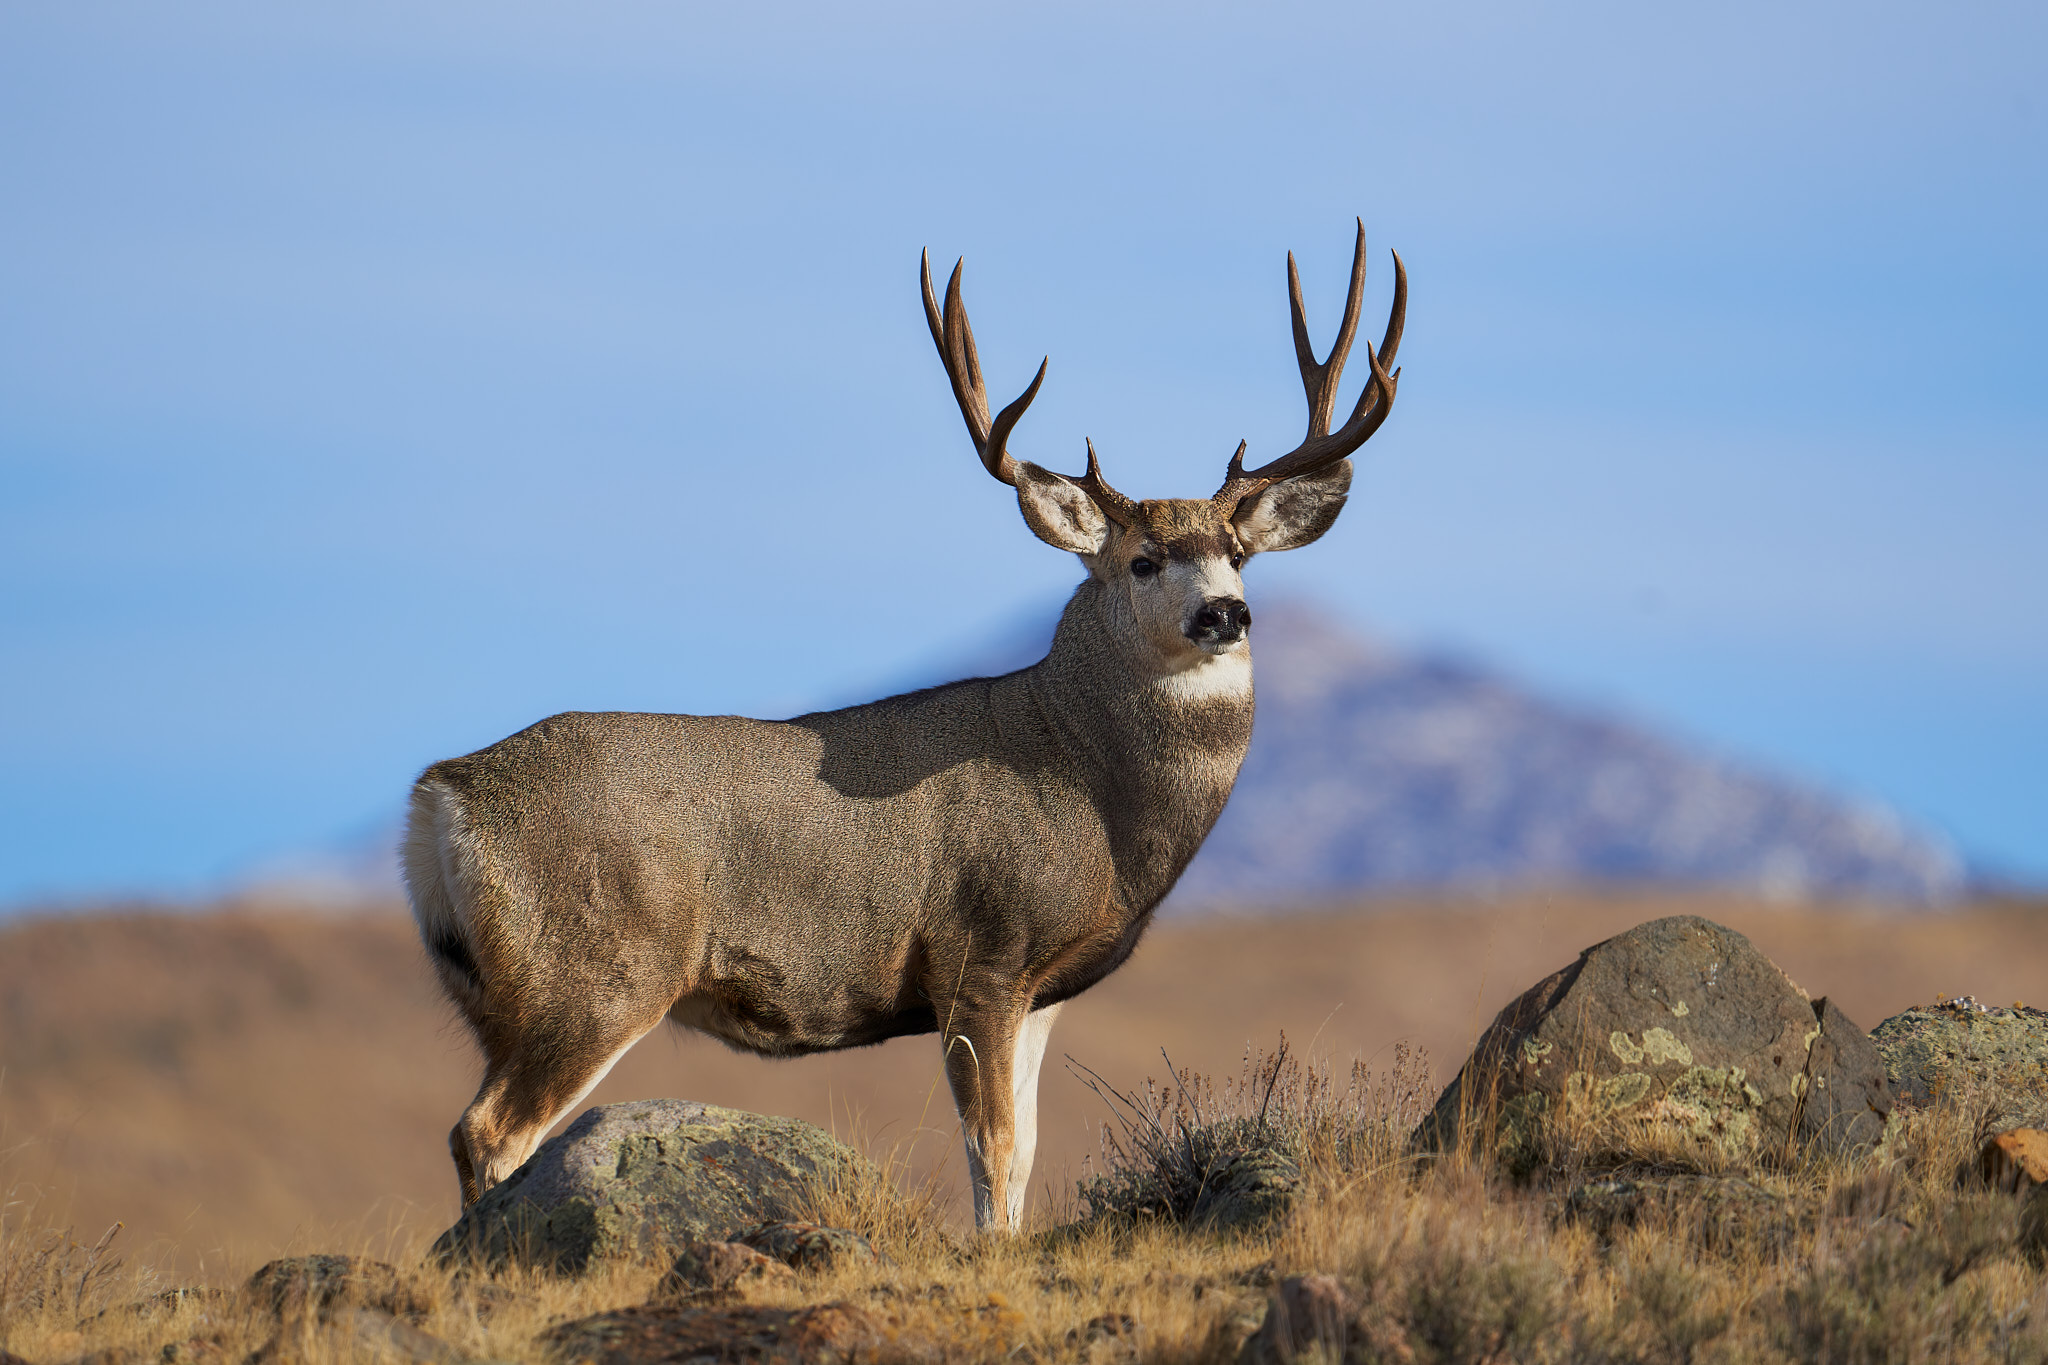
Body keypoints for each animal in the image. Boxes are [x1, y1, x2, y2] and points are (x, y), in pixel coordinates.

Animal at [402, 221, 1406, 1231]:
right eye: (1143, 559)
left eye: (1238, 551)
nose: (1225, 614)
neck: (1087, 782)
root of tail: (443, 794)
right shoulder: (978, 954)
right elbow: (991, 1148)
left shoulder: (1041, 989)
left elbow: (1027, 1148)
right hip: (596, 968)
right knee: (490, 1130)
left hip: (496, 994)